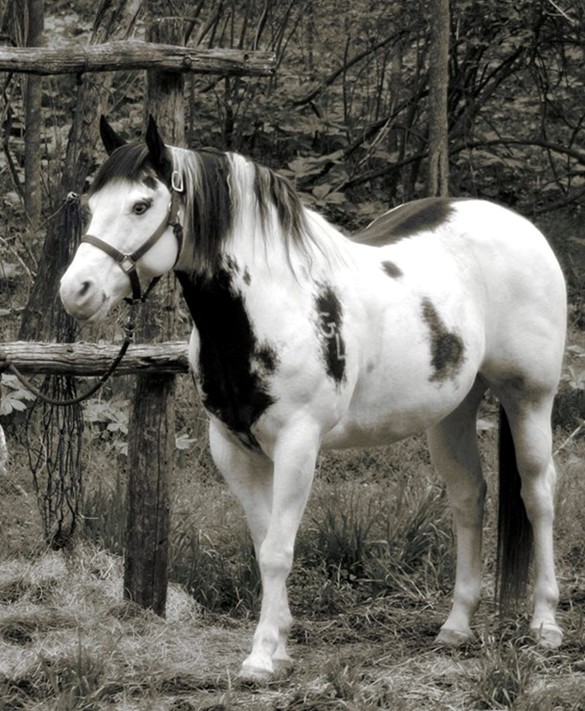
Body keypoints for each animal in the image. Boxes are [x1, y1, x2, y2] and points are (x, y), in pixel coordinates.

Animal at [60, 117, 564, 684]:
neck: (272, 305)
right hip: (452, 410)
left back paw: (545, 624)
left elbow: (278, 551)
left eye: (142, 205)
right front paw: (279, 646)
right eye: (90, 205)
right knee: (468, 497)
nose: (75, 291)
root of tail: (518, 227)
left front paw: (261, 657)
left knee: (538, 494)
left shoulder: (298, 444)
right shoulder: (233, 449)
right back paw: (456, 626)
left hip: (530, 396)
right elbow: (263, 544)